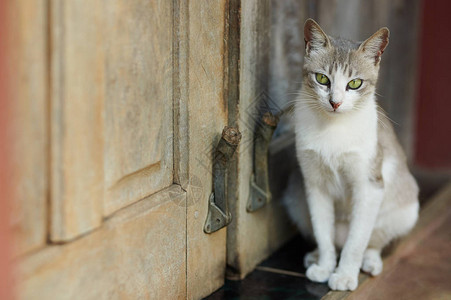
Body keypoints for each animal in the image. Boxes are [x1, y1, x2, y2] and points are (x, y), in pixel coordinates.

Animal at [284, 18, 422, 290]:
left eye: (355, 83)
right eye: (322, 78)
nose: (335, 102)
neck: (333, 128)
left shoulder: (369, 185)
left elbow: (356, 242)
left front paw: (345, 276)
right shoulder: (314, 185)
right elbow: (323, 233)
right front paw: (325, 267)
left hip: (406, 208)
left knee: (372, 241)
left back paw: (370, 262)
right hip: (295, 195)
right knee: (331, 239)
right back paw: (315, 256)